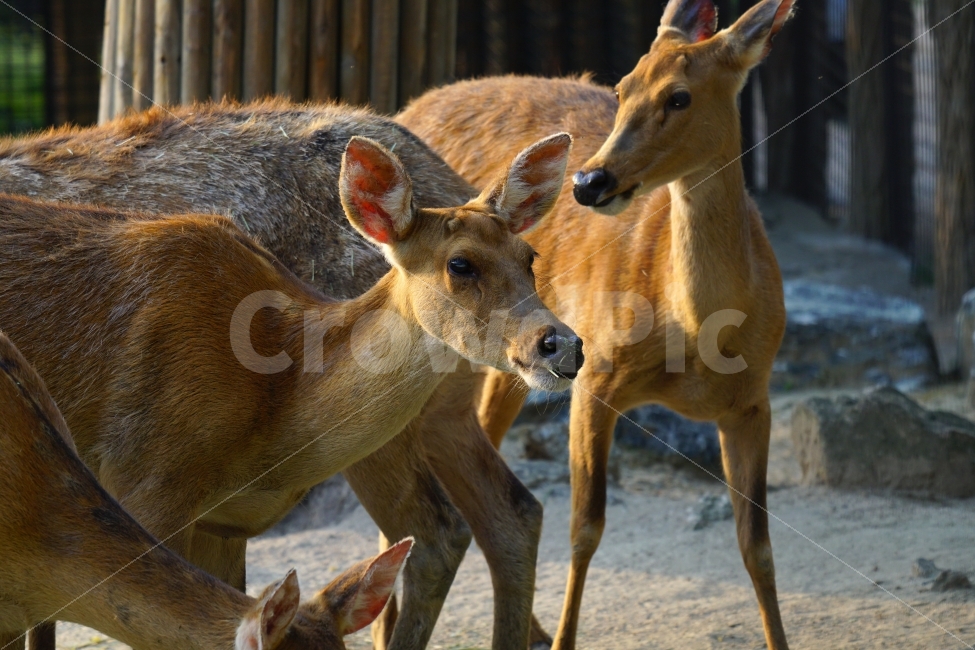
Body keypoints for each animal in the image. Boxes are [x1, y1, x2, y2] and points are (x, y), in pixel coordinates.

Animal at [395, 1, 795, 648]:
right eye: (622, 86)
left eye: (679, 96)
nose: (589, 181)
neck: (699, 336)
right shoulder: (595, 372)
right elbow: (585, 527)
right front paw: (563, 638)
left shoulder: (754, 401)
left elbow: (756, 544)